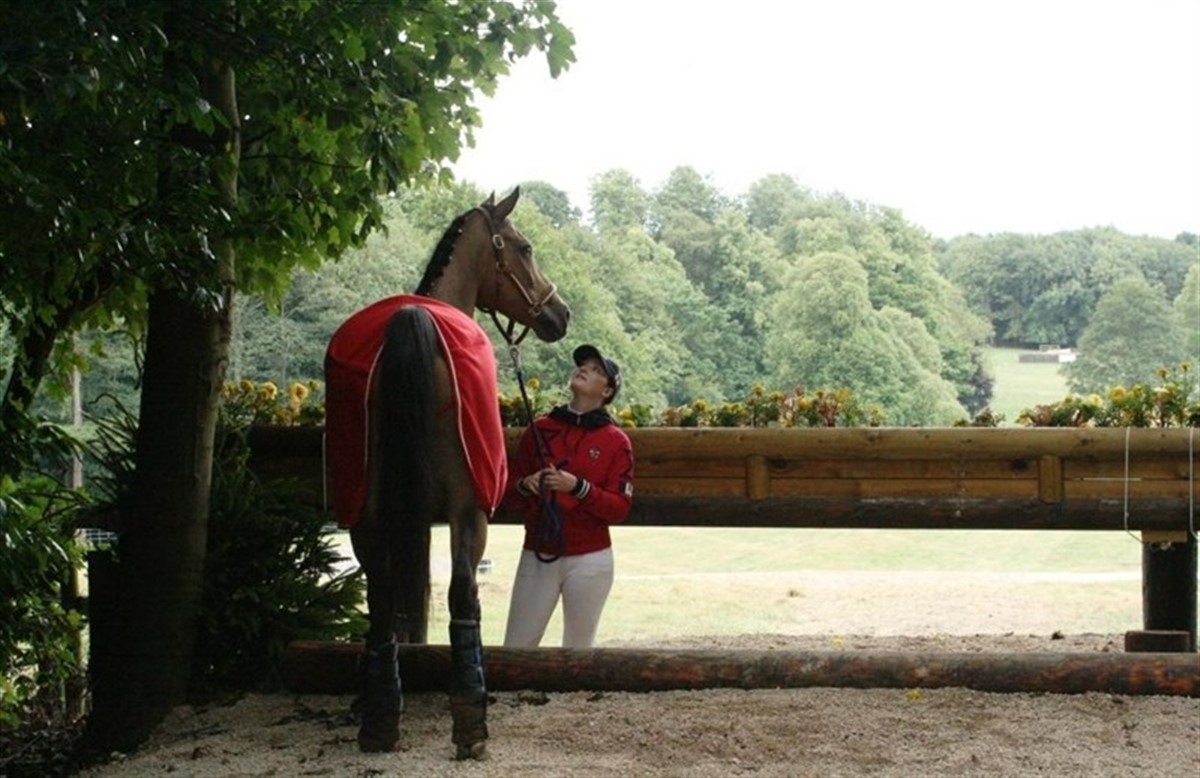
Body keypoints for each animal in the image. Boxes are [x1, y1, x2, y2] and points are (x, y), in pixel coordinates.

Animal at [323, 188, 569, 758]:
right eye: (525, 247)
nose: (560, 313)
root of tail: (412, 325)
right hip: (468, 510)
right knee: (462, 594)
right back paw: (470, 723)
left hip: (366, 511)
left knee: (380, 597)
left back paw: (380, 720)